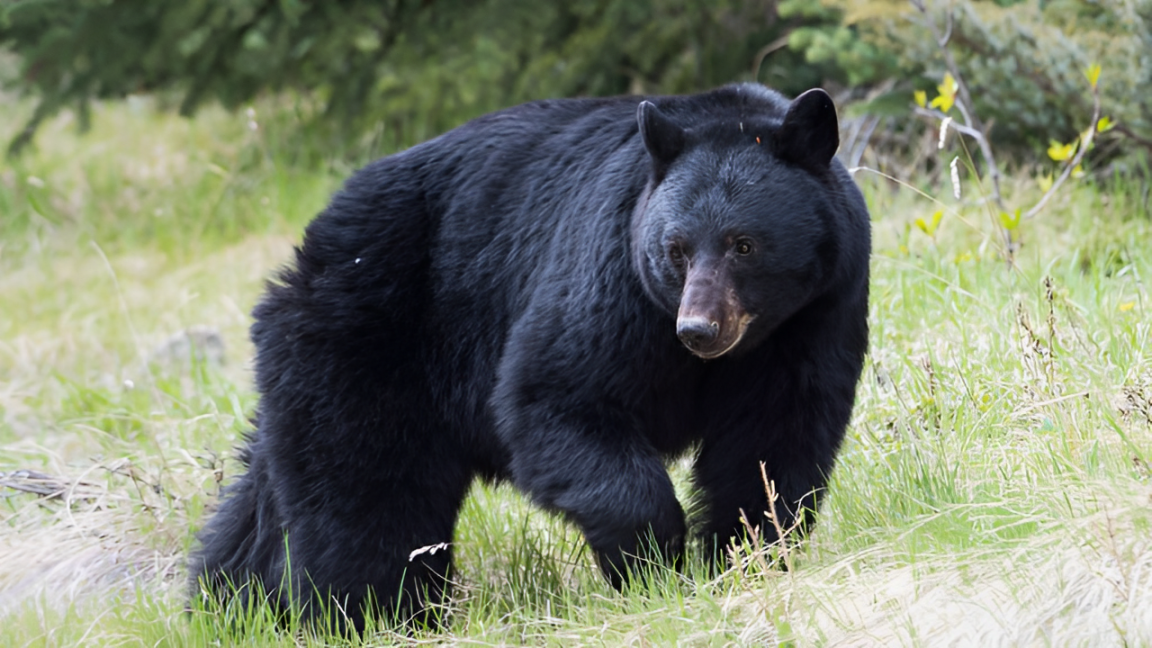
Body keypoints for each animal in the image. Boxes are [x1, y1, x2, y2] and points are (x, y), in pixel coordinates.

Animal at [193, 83, 866, 627]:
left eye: (743, 244)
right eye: (676, 248)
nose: (697, 329)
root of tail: (311, 244)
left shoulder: (815, 314)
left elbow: (771, 442)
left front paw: (745, 557)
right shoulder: (613, 281)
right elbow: (556, 397)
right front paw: (653, 563)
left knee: (273, 496)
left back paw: (230, 597)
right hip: (363, 339)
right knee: (364, 493)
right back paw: (369, 615)